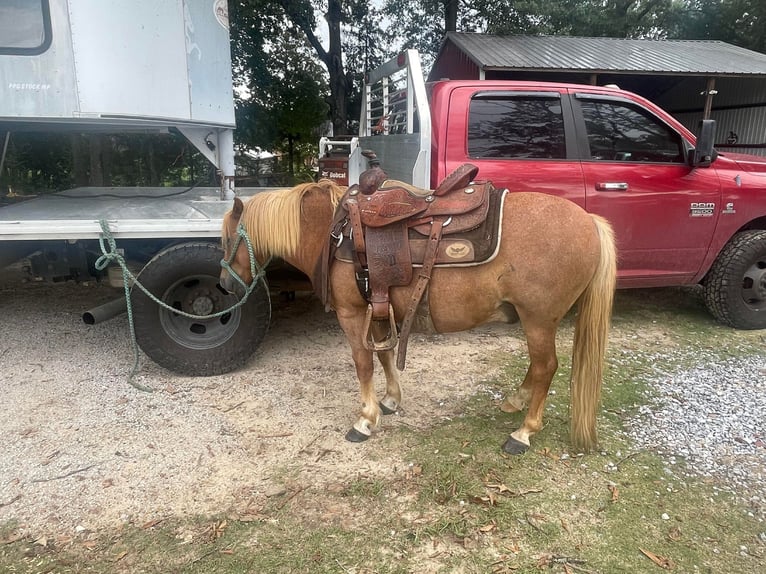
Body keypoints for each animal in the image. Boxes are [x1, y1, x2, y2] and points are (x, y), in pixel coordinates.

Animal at [220, 178, 616, 456]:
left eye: (225, 240)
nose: (224, 285)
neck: (333, 234)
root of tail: (590, 220)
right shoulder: (379, 308)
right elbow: (384, 355)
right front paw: (390, 401)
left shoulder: (352, 314)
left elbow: (363, 363)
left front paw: (365, 419)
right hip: (534, 320)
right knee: (537, 366)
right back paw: (514, 403)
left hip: (538, 319)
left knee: (546, 366)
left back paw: (524, 432)